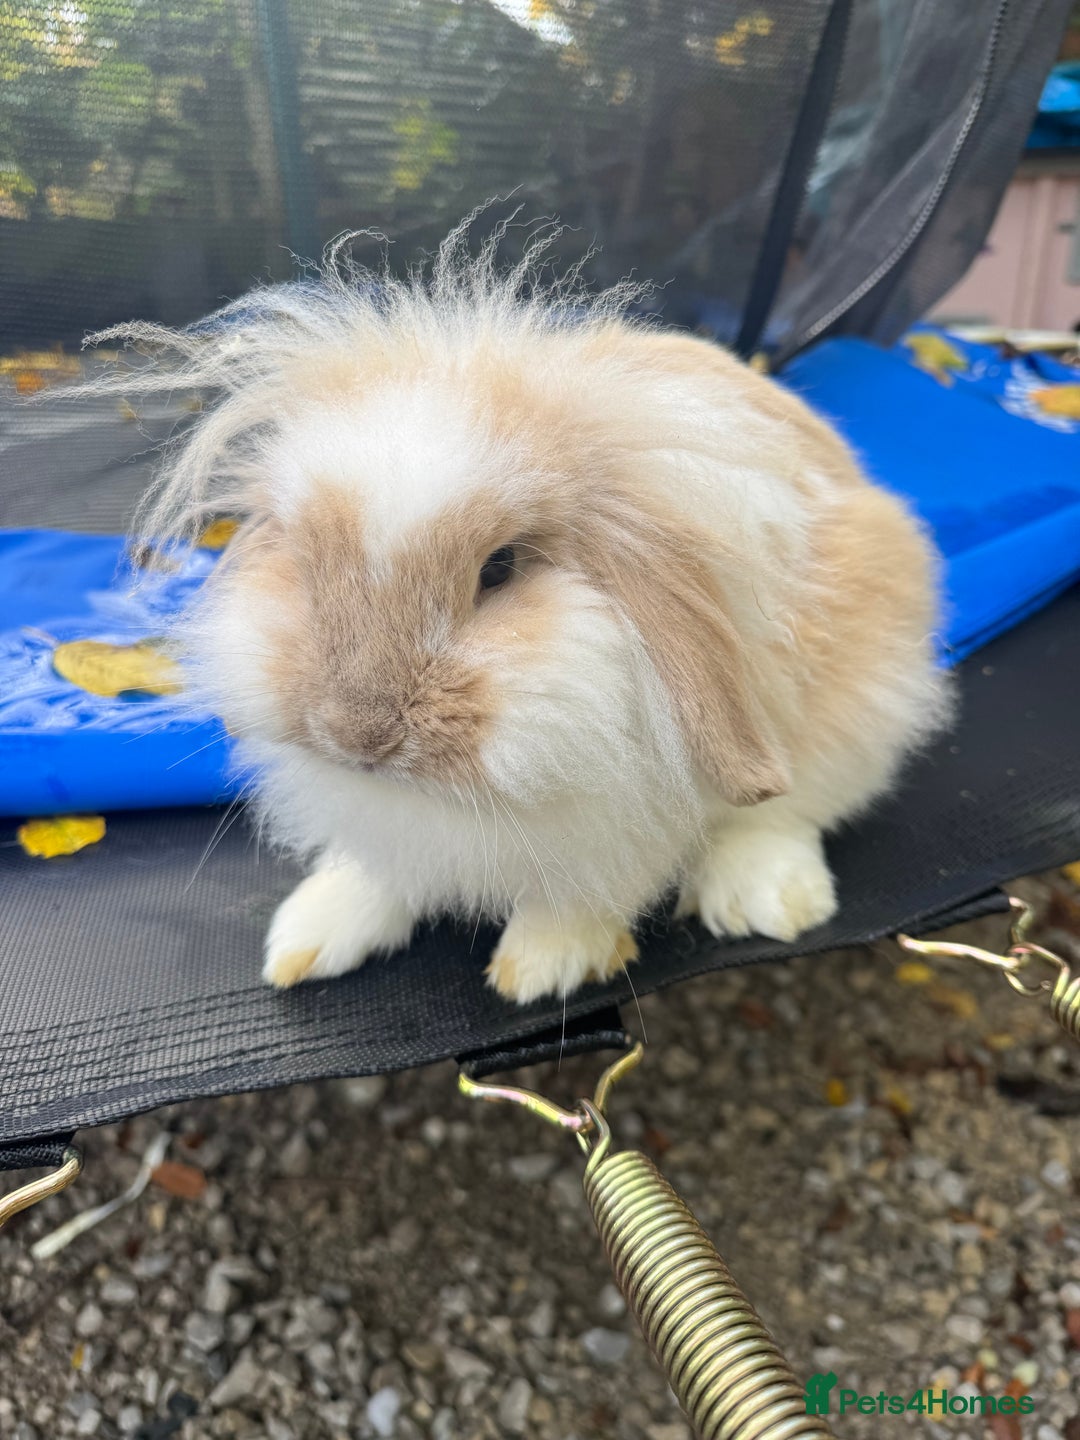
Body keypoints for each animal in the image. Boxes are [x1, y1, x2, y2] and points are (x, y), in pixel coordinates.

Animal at [95, 221, 950, 1004]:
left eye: (500, 568)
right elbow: (375, 875)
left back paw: (767, 900)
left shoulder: (629, 824)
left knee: (789, 812)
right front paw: (307, 937)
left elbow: (591, 889)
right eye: (305, 558)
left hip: (864, 702)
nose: (356, 733)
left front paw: (542, 967)